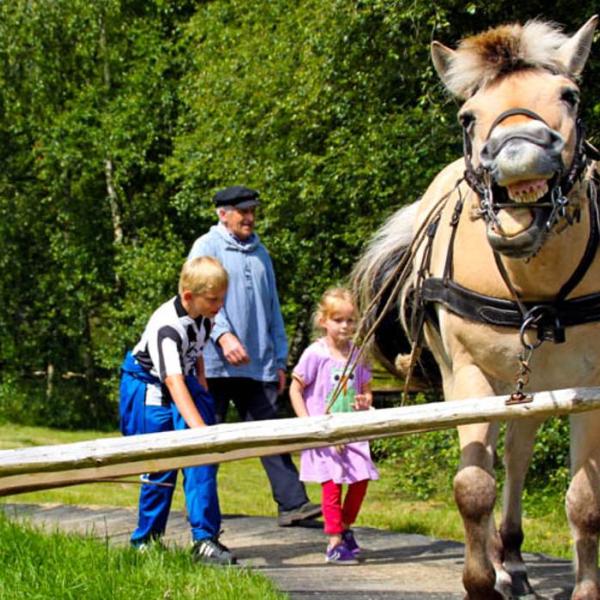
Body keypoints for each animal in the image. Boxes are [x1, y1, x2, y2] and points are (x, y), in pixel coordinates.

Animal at [352, 15, 600, 600]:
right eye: (468, 116)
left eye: (569, 95)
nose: (518, 154)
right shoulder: (466, 374)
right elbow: (472, 486)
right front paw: (480, 580)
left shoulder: (591, 385)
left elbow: (584, 500)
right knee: (494, 457)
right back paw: (500, 560)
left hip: (537, 381)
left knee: (517, 454)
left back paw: (513, 558)